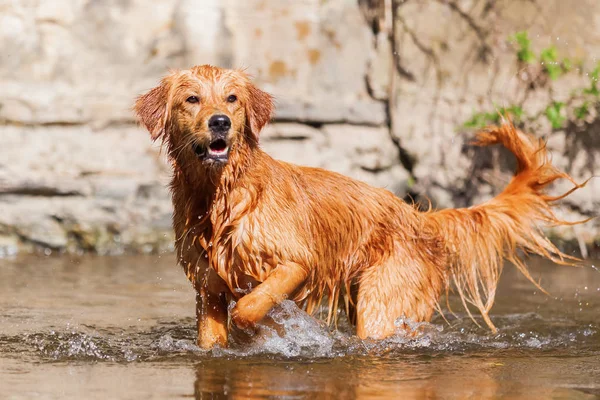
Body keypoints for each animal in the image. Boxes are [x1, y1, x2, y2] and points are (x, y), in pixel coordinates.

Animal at [135, 65, 584, 346]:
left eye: (231, 99)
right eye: (193, 99)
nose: (220, 122)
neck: (221, 197)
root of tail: (421, 219)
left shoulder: (297, 262)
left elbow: (249, 307)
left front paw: (257, 328)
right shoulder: (207, 286)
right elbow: (213, 337)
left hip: (382, 300)